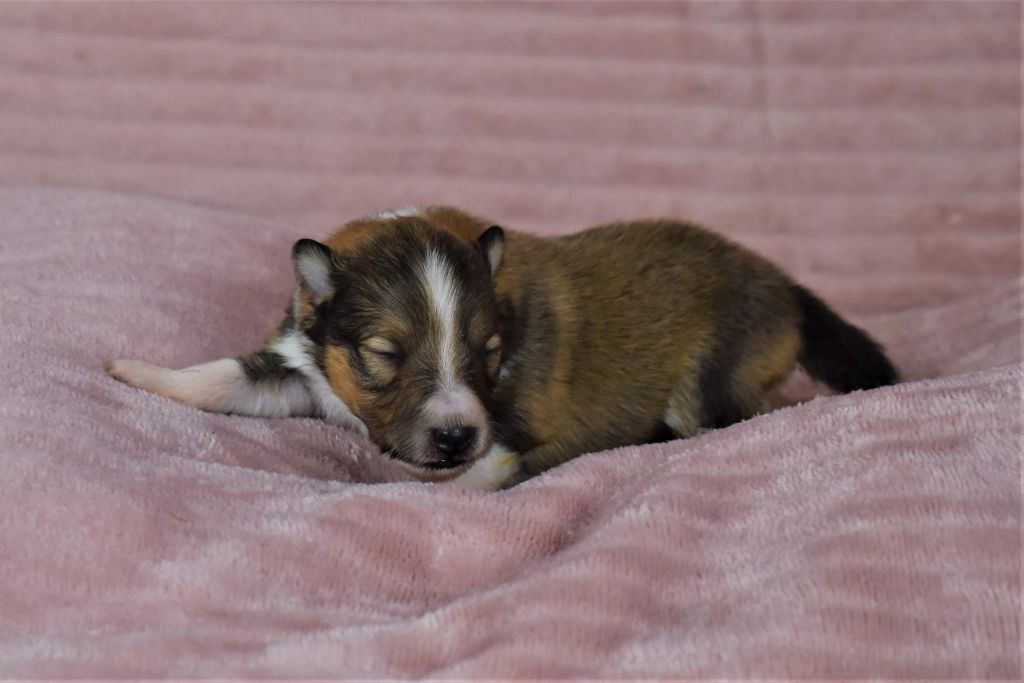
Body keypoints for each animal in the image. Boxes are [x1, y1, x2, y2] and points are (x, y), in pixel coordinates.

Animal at [110, 205, 897, 489]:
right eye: (386, 353)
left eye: (487, 351)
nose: (455, 434)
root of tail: (786, 286)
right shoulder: (304, 366)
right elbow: (221, 376)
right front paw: (133, 369)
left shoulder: (508, 429)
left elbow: (466, 481)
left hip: (712, 374)